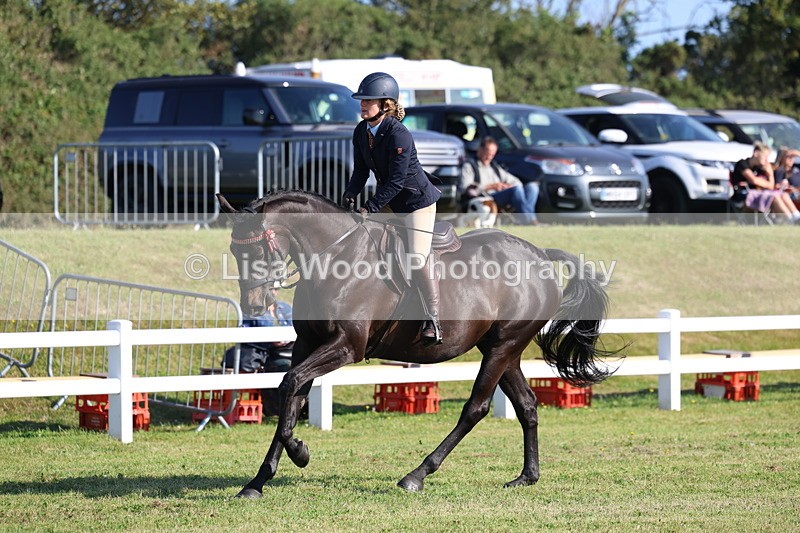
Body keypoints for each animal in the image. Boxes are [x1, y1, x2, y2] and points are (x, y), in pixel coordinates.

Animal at [216, 190, 619, 497]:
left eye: (258, 250)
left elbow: (290, 384)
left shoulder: (346, 346)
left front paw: (300, 452)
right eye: (235, 253)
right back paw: (526, 477)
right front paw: (258, 481)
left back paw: (417, 475)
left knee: (475, 408)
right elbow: (293, 393)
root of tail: (539, 256)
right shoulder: (307, 344)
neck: (333, 257)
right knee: (526, 405)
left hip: (504, 346)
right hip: (503, 349)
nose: (255, 306)